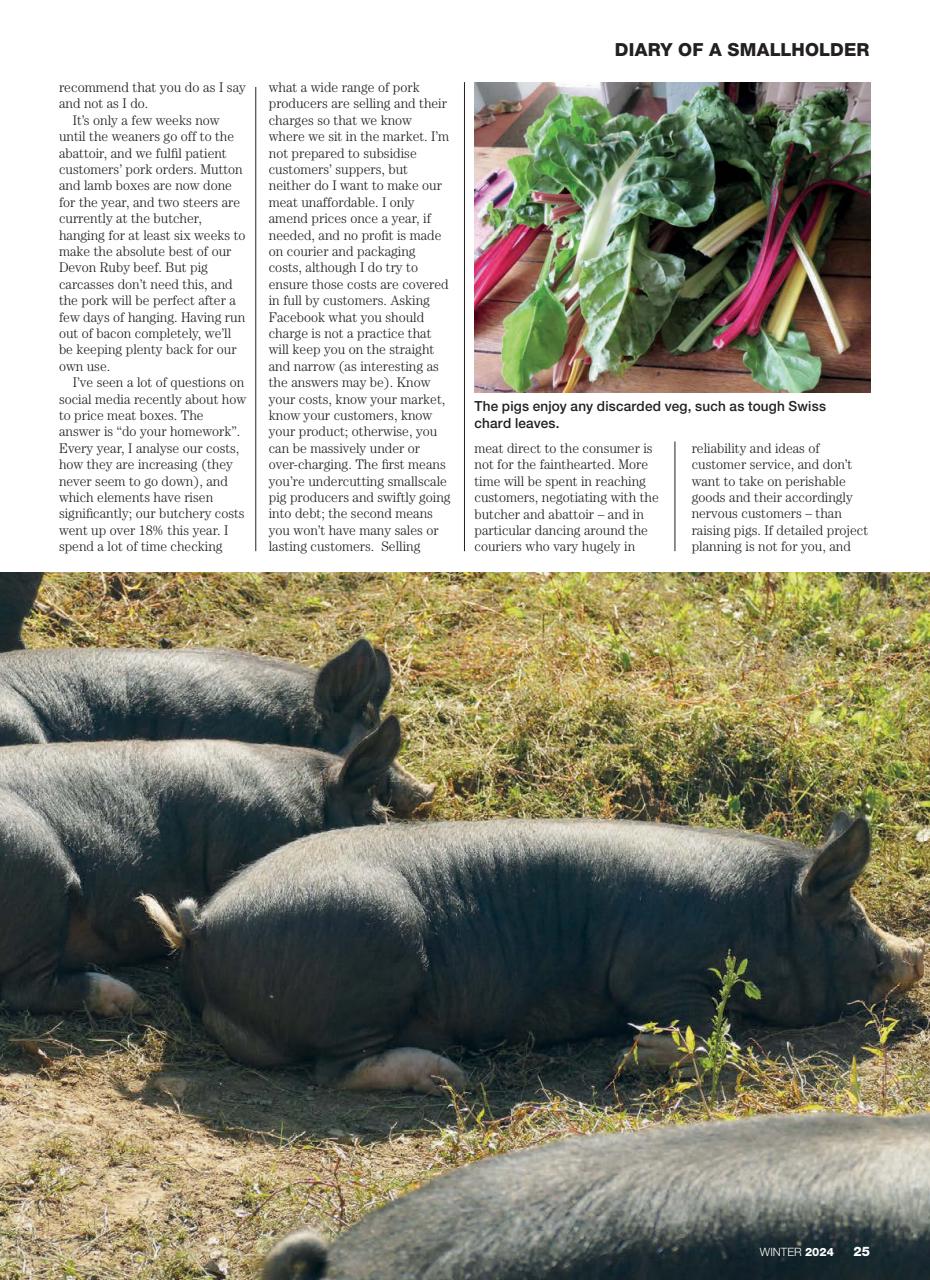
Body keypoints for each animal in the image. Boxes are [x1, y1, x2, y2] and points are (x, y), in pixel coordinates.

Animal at [143, 815, 924, 1093]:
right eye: (853, 922)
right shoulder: (659, 970)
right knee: (339, 1072)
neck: (758, 918)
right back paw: (447, 1078)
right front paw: (631, 1058)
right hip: (374, 950)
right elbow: (709, 1030)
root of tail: (203, 926)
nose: (915, 952)